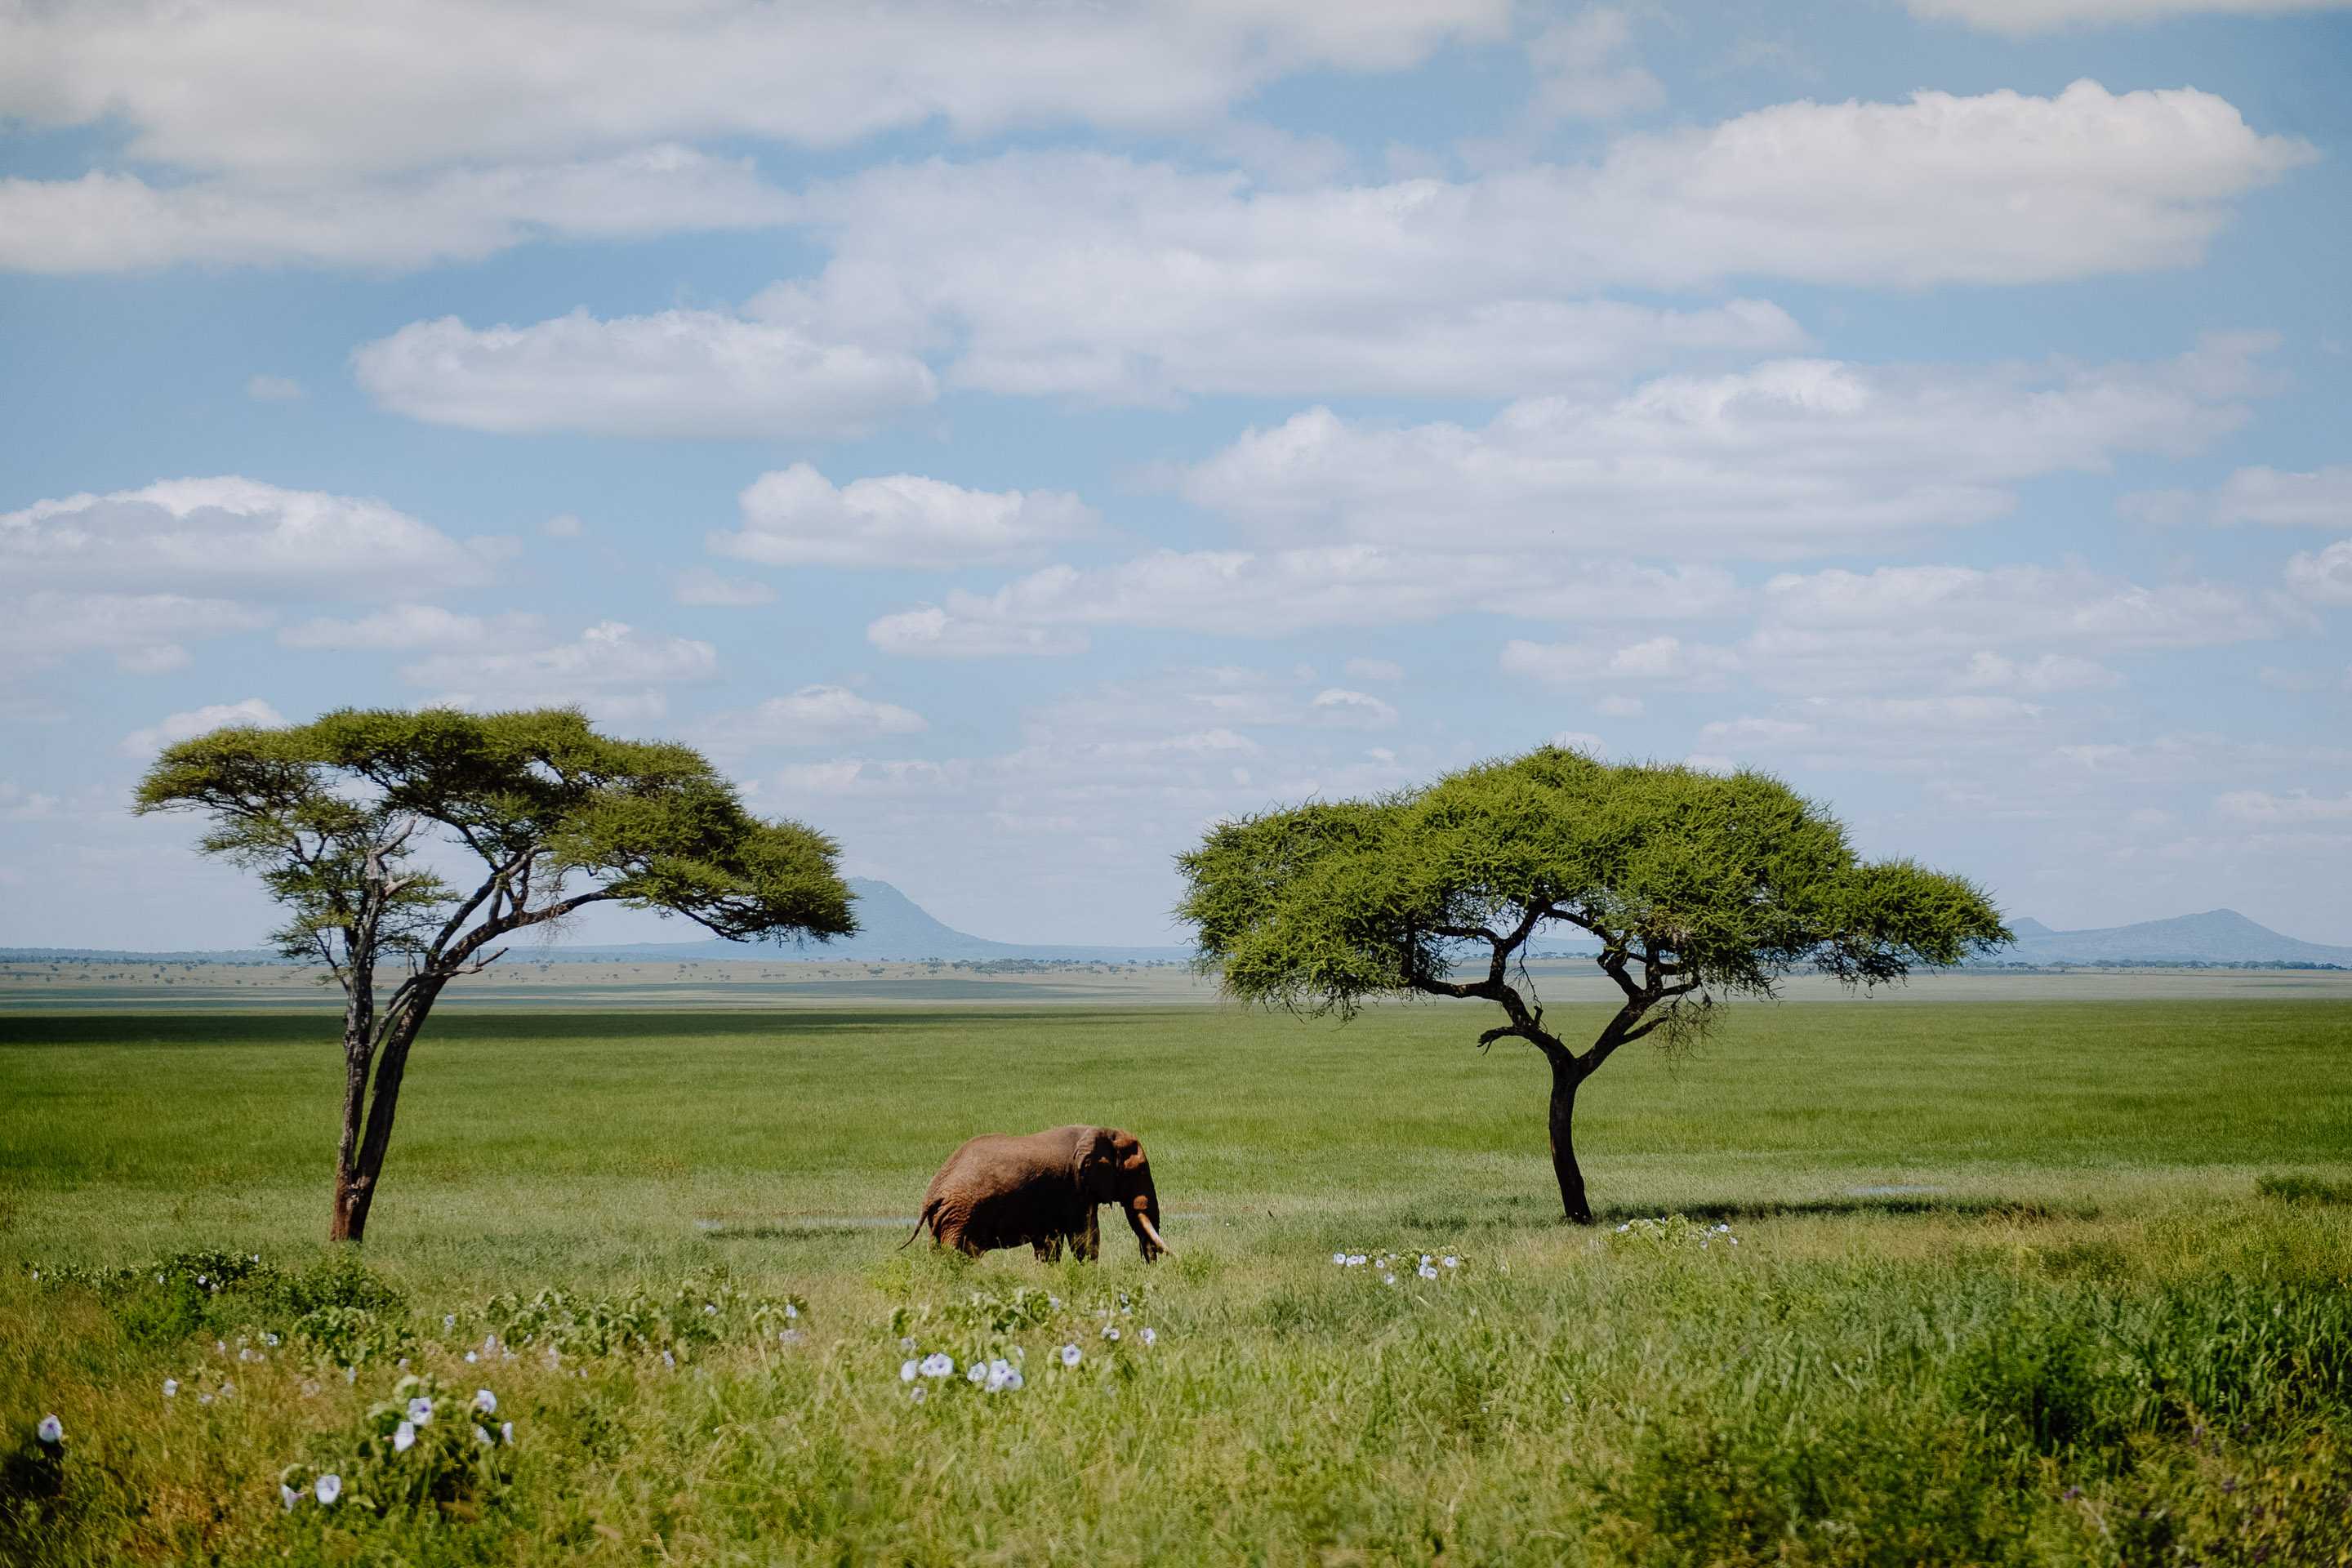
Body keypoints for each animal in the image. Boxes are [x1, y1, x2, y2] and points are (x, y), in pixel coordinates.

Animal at [901, 1125, 1170, 1262]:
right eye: (1140, 1171)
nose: (1149, 1269)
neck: (1101, 1132)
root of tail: (931, 1194)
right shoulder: (1075, 1187)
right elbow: (1085, 1237)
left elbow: (1049, 1243)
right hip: (960, 1214)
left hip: (946, 1218)